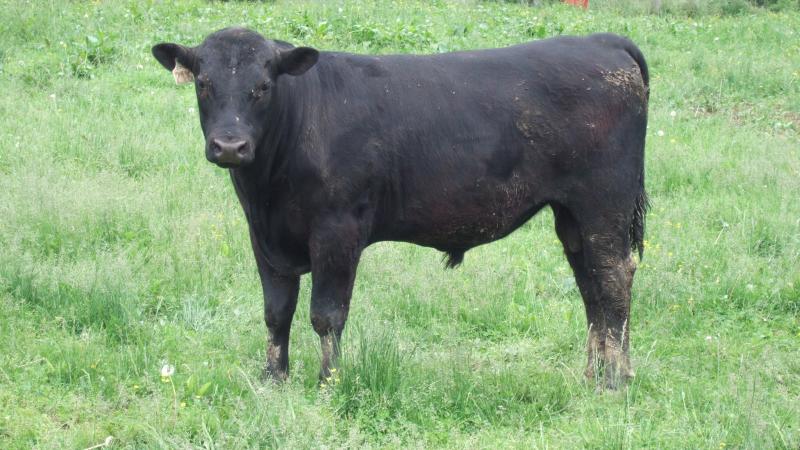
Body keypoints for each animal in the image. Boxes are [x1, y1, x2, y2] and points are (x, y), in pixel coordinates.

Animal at [152, 28, 649, 388]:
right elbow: (277, 311)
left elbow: (326, 315)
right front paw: (273, 379)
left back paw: (614, 381)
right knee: (590, 285)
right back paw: (593, 375)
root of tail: (600, 41)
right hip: (572, 216)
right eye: (204, 84)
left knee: (613, 278)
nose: (230, 146)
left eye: (262, 86)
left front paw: (328, 382)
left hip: (604, 203)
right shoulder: (265, 236)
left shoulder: (337, 230)